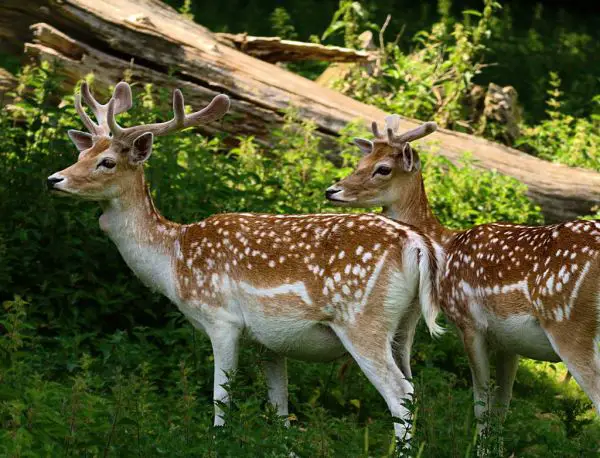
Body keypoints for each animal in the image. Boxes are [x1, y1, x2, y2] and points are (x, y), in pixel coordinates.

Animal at [48, 83, 446, 444]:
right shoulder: (268, 341)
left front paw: (216, 442)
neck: (173, 259)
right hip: (404, 326)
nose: (54, 179)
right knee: (414, 388)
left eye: (107, 162)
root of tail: (417, 244)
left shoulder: (222, 319)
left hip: (362, 320)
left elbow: (220, 400)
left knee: (400, 395)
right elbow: (281, 411)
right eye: (81, 154)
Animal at [326, 116, 600, 432]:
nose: (332, 190)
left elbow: (481, 407)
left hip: (571, 325)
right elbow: (501, 409)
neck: (446, 245)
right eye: (361, 161)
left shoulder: (468, 322)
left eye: (383, 168)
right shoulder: (510, 343)